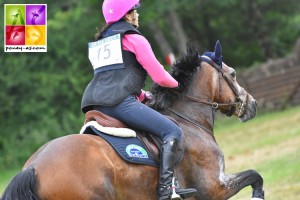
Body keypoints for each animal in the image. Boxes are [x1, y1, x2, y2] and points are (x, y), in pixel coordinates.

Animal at [2, 41, 264, 200]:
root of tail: (32, 169)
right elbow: (255, 175)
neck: (190, 120)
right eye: (233, 74)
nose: (252, 104)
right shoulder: (213, 188)